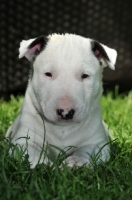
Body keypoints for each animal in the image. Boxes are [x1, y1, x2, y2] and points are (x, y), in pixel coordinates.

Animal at [5, 33, 116, 168]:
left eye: (85, 76)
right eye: (48, 74)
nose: (65, 112)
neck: (62, 129)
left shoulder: (98, 143)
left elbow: (86, 150)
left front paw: (76, 162)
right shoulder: (22, 140)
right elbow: (31, 153)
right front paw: (43, 165)